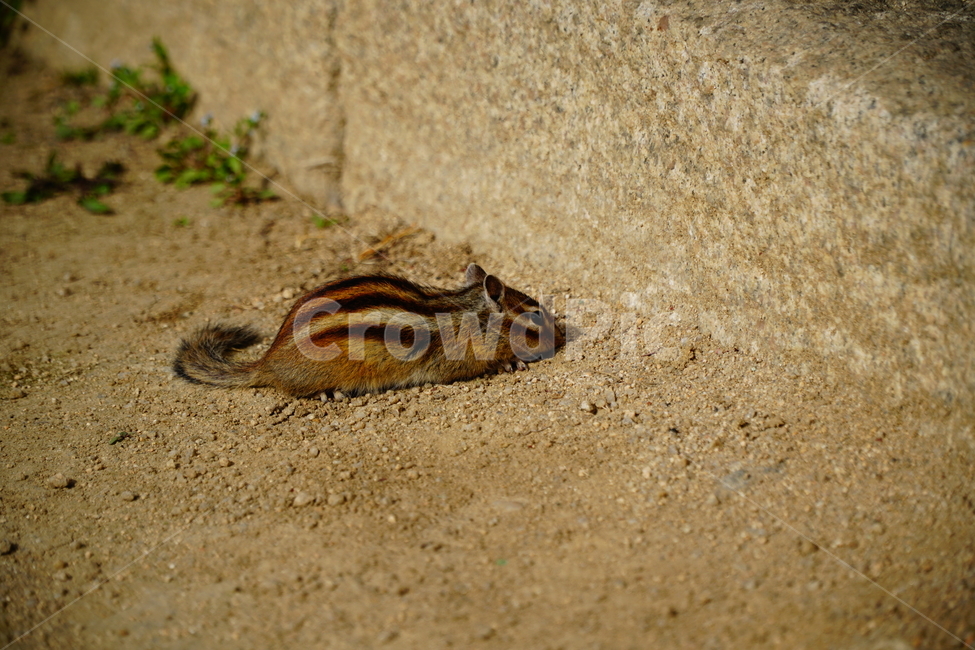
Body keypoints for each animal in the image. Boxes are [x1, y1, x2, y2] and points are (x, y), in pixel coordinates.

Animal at [173, 264, 563, 397]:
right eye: (534, 319)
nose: (559, 338)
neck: (467, 317)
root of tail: (267, 361)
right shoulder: (451, 361)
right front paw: (508, 362)